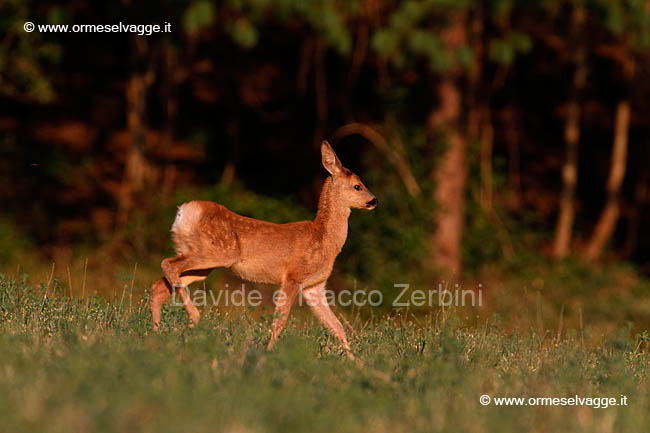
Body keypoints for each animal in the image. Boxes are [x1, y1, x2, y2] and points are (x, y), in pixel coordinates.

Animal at [150, 141, 378, 358]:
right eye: (357, 186)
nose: (374, 200)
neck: (323, 239)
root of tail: (183, 212)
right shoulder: (293, 276)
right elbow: (280, 321)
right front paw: (268, 353)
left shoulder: (315, 286)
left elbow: (337, 326)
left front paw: (355, 362)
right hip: (219, 252)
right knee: (167, 264)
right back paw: (194, 318)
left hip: (202, 262)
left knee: (160, 285)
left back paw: (157, 335)